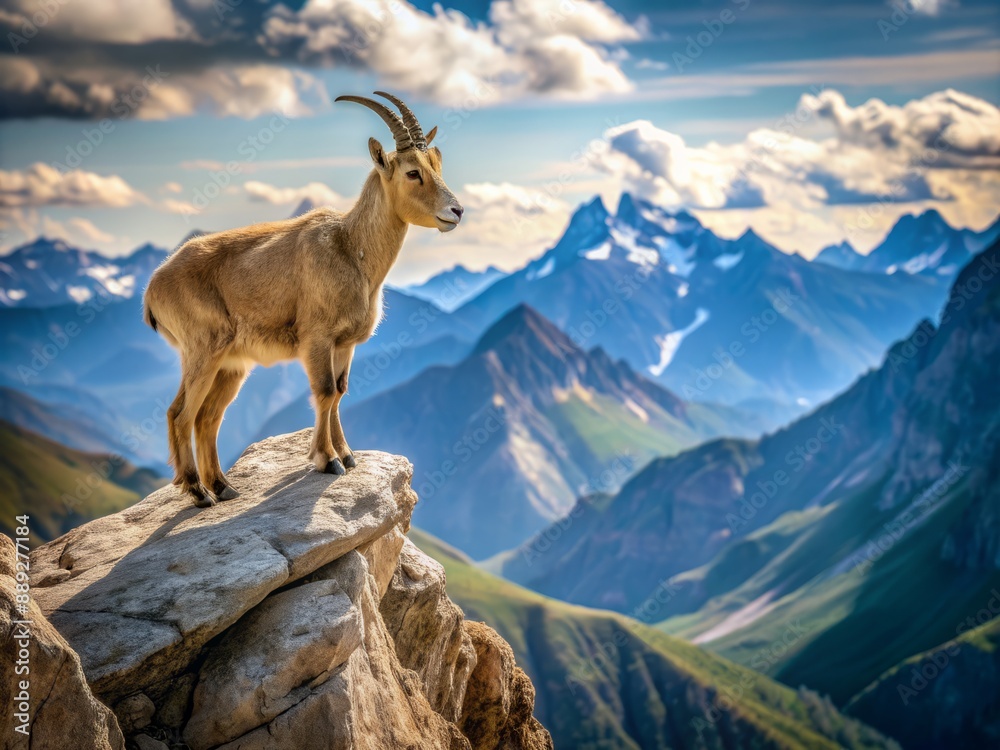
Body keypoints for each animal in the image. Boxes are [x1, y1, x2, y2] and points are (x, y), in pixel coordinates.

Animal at [144, 92, 464, 507]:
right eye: (413, 172)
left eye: (437, 164)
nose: (456, 211)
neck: (351, 250)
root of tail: (153, 288)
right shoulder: (317, 338)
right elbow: (324, 392)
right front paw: (327, 460)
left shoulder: (345, 343)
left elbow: (340, 391)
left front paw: (347, 455)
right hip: (202, 350)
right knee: (181, 414)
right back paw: (199, 492)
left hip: (230, 364)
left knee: (207, 417)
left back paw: (223, 486)